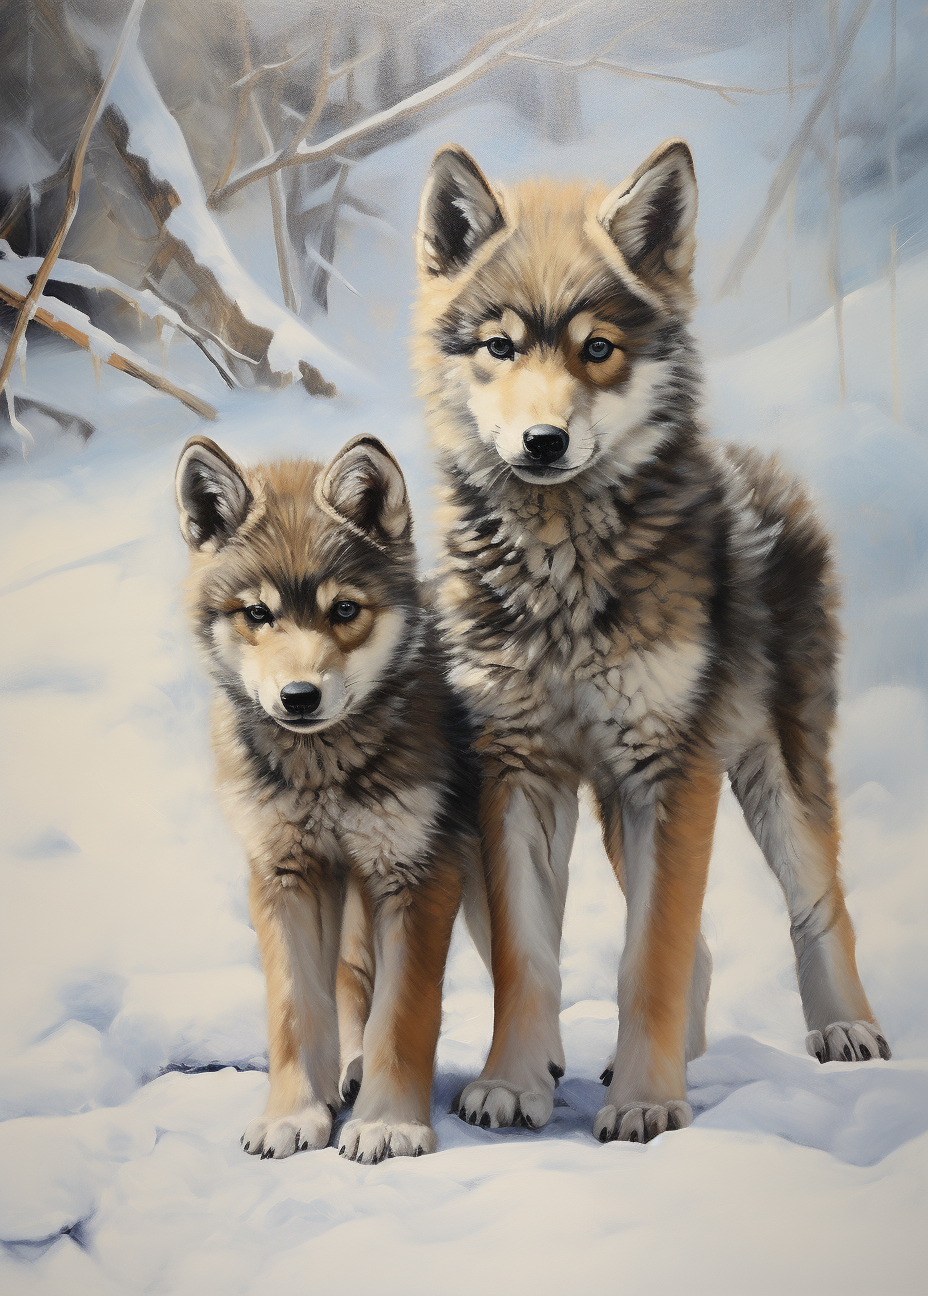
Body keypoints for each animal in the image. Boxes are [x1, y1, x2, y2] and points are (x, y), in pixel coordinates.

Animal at [175, 433, 479, 1162]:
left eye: (344, 610)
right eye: (258, 613)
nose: (299, 697)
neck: (322, 769)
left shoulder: (421, 873)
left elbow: (405, 1012)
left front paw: (389, 1124)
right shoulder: (284, 873)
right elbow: (294, 1010)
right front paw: (293, 1115)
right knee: (349, 977)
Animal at [413, 138, 891, 1144]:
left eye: (598, 349)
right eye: (501, 347)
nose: (543, 441)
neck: (561, 570)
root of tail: (761, 464)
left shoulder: (674, 771)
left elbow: (651, 958)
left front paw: (644, 1102)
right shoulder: (520, 770)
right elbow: (529, 957)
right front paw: (514, 1083)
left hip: (767, 775)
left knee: (819, 902)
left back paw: (845, 1031)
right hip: (620, 812)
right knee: (699, 943)